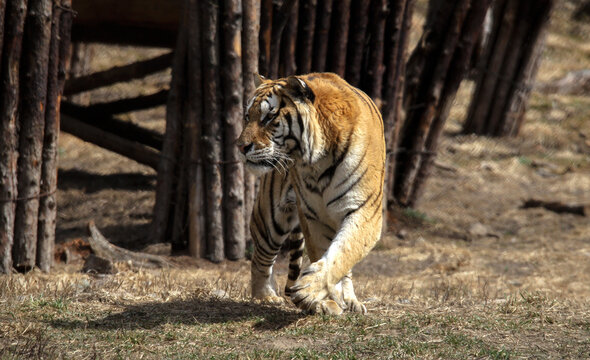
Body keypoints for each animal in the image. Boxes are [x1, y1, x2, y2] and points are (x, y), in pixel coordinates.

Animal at [238, 71, 386, 314]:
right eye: (247, 116)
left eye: (269, 117)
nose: (241, 147)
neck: (318, 160)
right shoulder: (314, 216)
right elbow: (323, 252)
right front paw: (325, 301)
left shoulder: (364, 212)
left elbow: (341, 253)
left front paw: (310, 292)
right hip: (271, 218)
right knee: (261, 258)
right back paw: (264, 296)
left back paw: (351, 301)